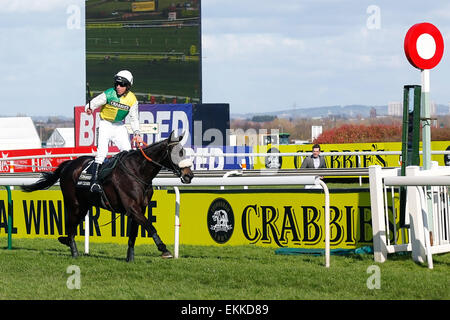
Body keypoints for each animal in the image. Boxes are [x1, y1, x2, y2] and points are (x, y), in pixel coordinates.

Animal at [21, 131, 193, 262]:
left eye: (183, 152)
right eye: (178, 153)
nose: (189, 175)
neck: (137, 171)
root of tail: (69, 164)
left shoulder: (139, 209)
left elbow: (134, 233)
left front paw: (130, 258)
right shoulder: (132, 208)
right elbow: (150, 226)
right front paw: (164, 249)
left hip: (84, 205)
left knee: (73, 226)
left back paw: (67, 243)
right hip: (74, 203)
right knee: (70, 226)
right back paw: (74, 251)